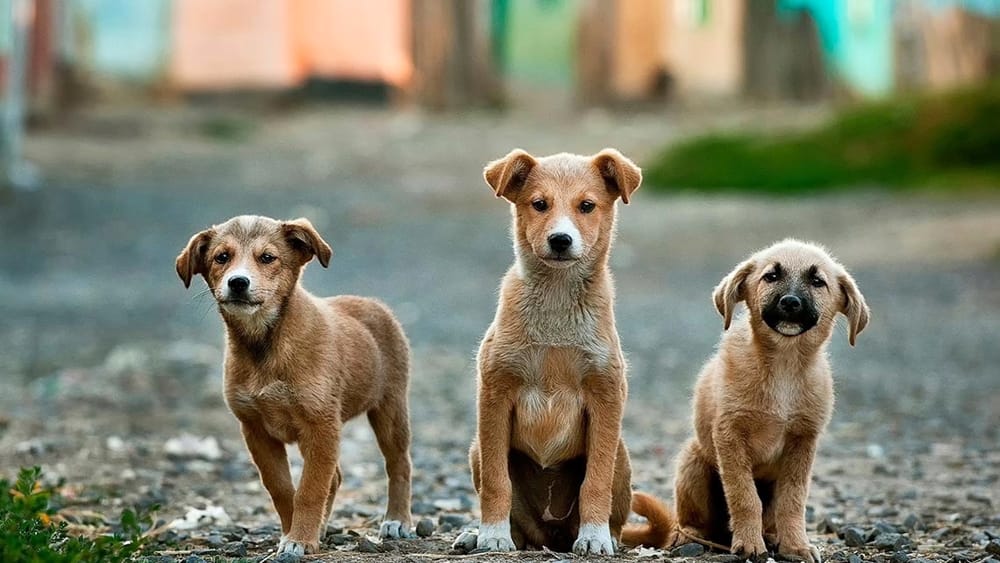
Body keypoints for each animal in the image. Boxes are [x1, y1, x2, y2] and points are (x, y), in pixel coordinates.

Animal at [177, 217, 414, 560]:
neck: (265, 345)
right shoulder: (255, 430)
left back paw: (397, 520)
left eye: (267, 258)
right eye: (222, 257)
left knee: (399, 464)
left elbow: (310, 489)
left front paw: (300, 538)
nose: (238, 282)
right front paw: (296, 533)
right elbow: (282, 488)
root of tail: (373, 303)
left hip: (390, 408)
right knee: (336, 477)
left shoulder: (320, 425)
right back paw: (324, 527)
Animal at [458, 148, 640, 556]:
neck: (556, 305)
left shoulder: (606, 396)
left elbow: (595, 481)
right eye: (539, 204)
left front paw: (594, 536)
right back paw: (479, 534)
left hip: (621, 454)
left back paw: (605, 536)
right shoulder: (495, 394)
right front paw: (492, 534)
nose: (560, 240)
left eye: (586, 206)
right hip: (476, 448)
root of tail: (551, 534)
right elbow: (496, 481)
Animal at [620, 239, 872, 563]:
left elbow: (793, 500)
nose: (791, 302)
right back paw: (690, 536)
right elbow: (744, 496)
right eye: (771, 276)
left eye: (818, 282)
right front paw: (750, 544)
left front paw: (795, 546)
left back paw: (772, 536)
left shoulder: (803, 441)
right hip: (693, 461)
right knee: (691, 520)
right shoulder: (730, 435)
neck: (784, 365)